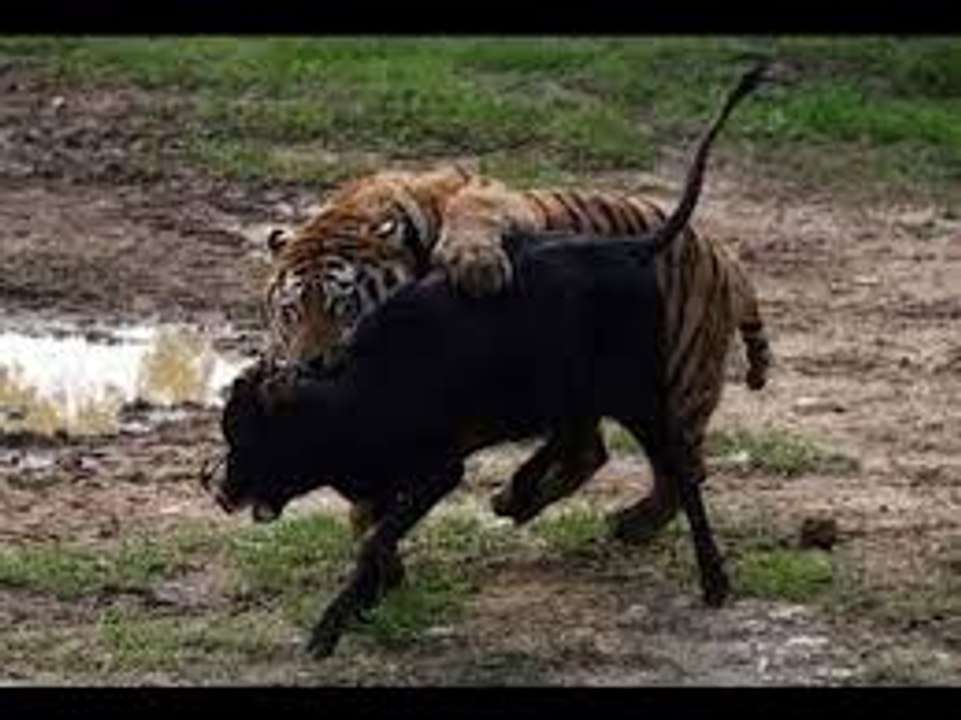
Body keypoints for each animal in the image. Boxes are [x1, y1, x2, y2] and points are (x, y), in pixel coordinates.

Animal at [262, 73, 773, 541]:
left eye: (343, 306)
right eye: (291, 313)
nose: (309, 365)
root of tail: (721, 253)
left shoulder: (491, 196)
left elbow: (473, 209)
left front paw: (475, 263)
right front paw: (366, 517)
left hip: (677, 380)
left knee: (681, 465)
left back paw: (632, 524)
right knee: (591, 451)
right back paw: (520, 502)